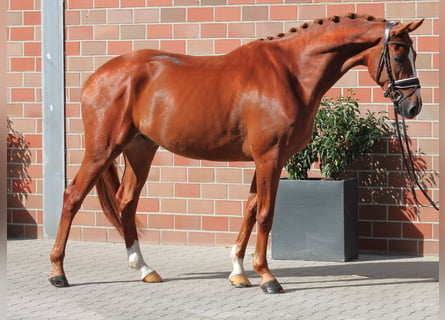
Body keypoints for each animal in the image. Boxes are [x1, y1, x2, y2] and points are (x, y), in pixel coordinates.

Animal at [48, 15, 424, 294]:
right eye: (399, 54)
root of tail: (96, 77)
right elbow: (266, 214)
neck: (291, 73)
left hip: (140, 149)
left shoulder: (265, 159)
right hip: (103, 148)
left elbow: (250, 209)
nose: (414, 107)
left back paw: (144, 268)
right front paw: (268, 278)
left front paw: (239, 272)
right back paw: (58, 272)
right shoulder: (270, 156)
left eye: (413, 54)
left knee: (126, 203)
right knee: (72, 196)